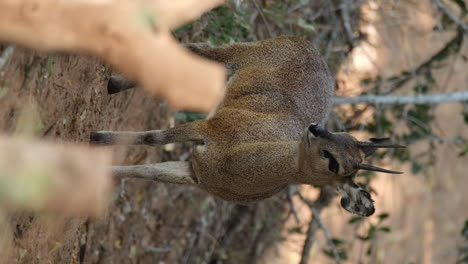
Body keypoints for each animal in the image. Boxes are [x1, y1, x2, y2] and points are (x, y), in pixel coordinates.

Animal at [89, 35, 404, 217]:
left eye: (334, 162)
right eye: (342, 134)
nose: (315, 128)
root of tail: (309, 45)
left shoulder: (193, 172)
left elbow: (146, 171)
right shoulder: (207, 128)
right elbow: (152, 138)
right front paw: (95, 137)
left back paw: (112, 82)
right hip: (233, 56)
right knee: (195, 47)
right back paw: (111, 78)